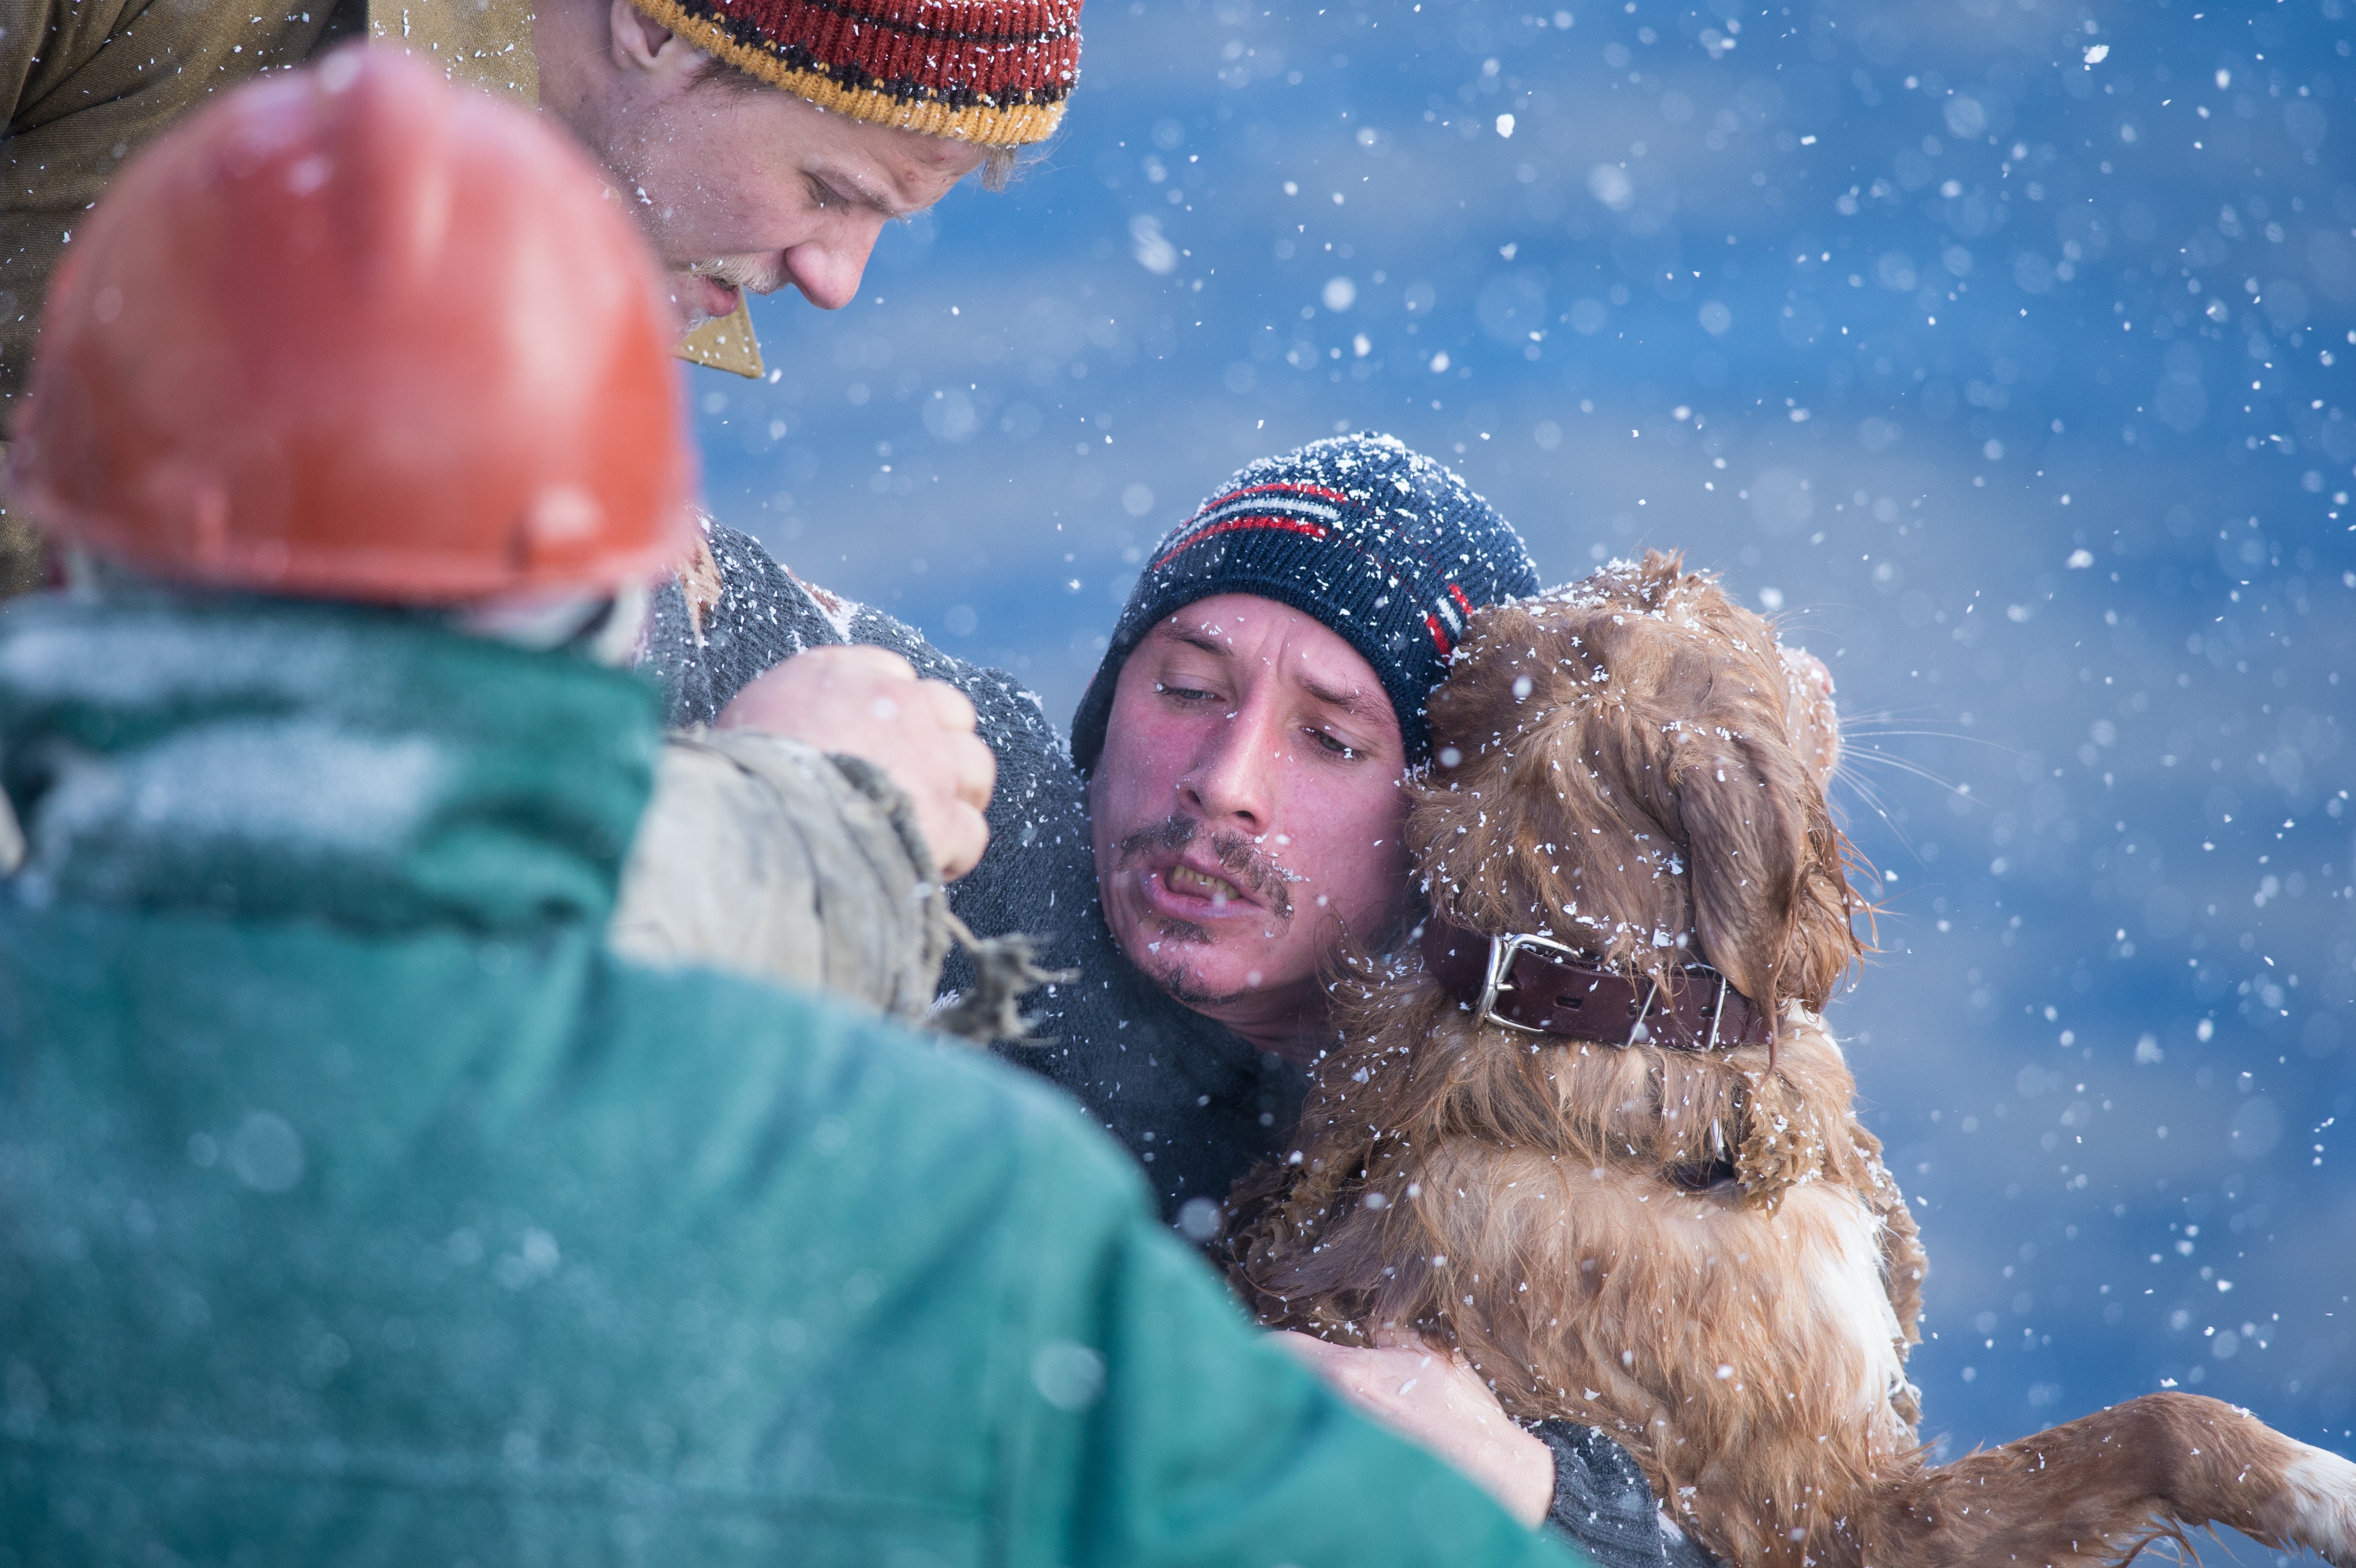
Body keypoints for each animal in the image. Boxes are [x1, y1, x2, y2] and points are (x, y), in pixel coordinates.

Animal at [1234, 548, 2356, 1563]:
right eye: (1744, 626)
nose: (1818, 659)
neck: (1605, 1028)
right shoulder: (1827, 1514)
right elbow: (2158, 1425)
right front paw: (2325, 1489)